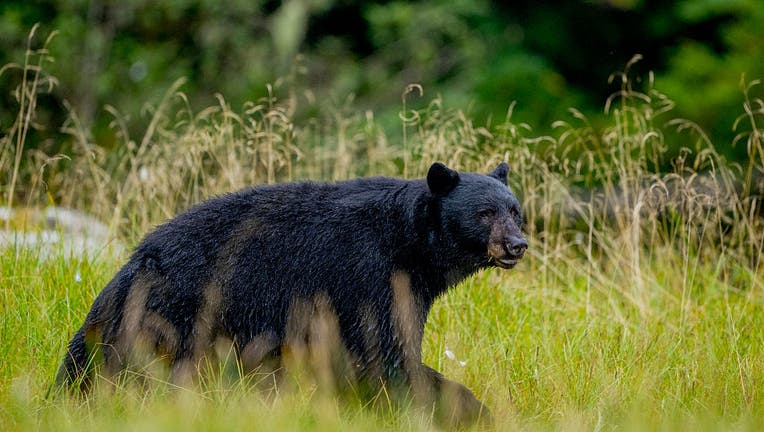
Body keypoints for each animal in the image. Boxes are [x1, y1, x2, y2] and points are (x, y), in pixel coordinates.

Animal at [55, 161, 527, 426]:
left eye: (516, 211)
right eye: (485, 213)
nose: (517, 244)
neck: (411, 244)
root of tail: (134, 262)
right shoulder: (367, 274)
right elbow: (381, 352)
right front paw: (468, 411)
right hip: (179, 311)